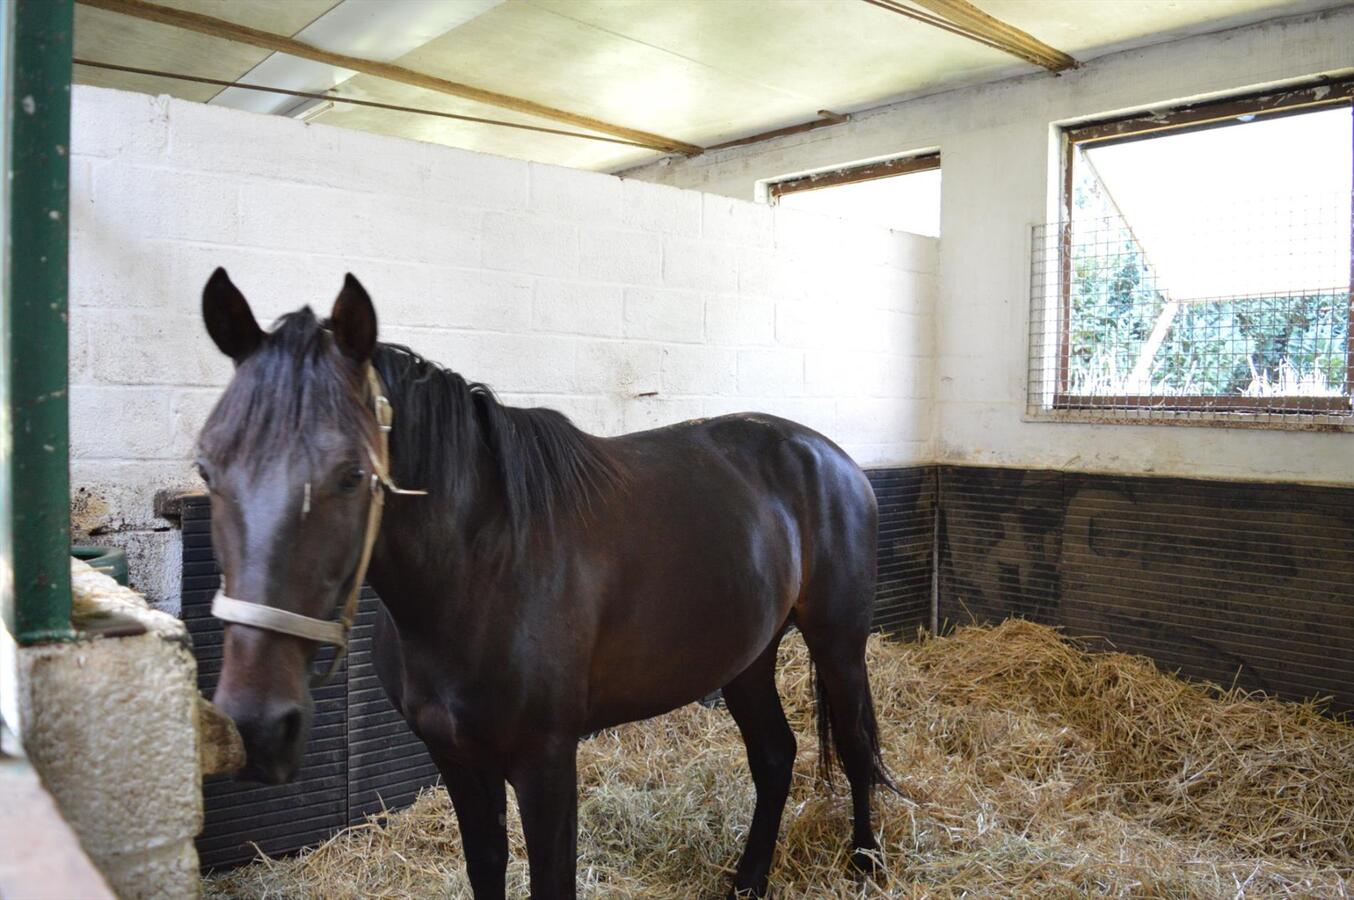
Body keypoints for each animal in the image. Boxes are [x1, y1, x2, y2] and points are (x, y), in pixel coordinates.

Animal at [197, 270, 888, 893]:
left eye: (351, 474)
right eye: (206, 467)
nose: (257, 723)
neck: (478, 573)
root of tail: (834, 458)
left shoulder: (546, 762)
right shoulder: (456, 760)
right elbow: (487, 868)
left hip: (838, 642)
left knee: (856, 748)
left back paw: (867, 864)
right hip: (746, 657)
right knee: (774, 757)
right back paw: (747, 881)